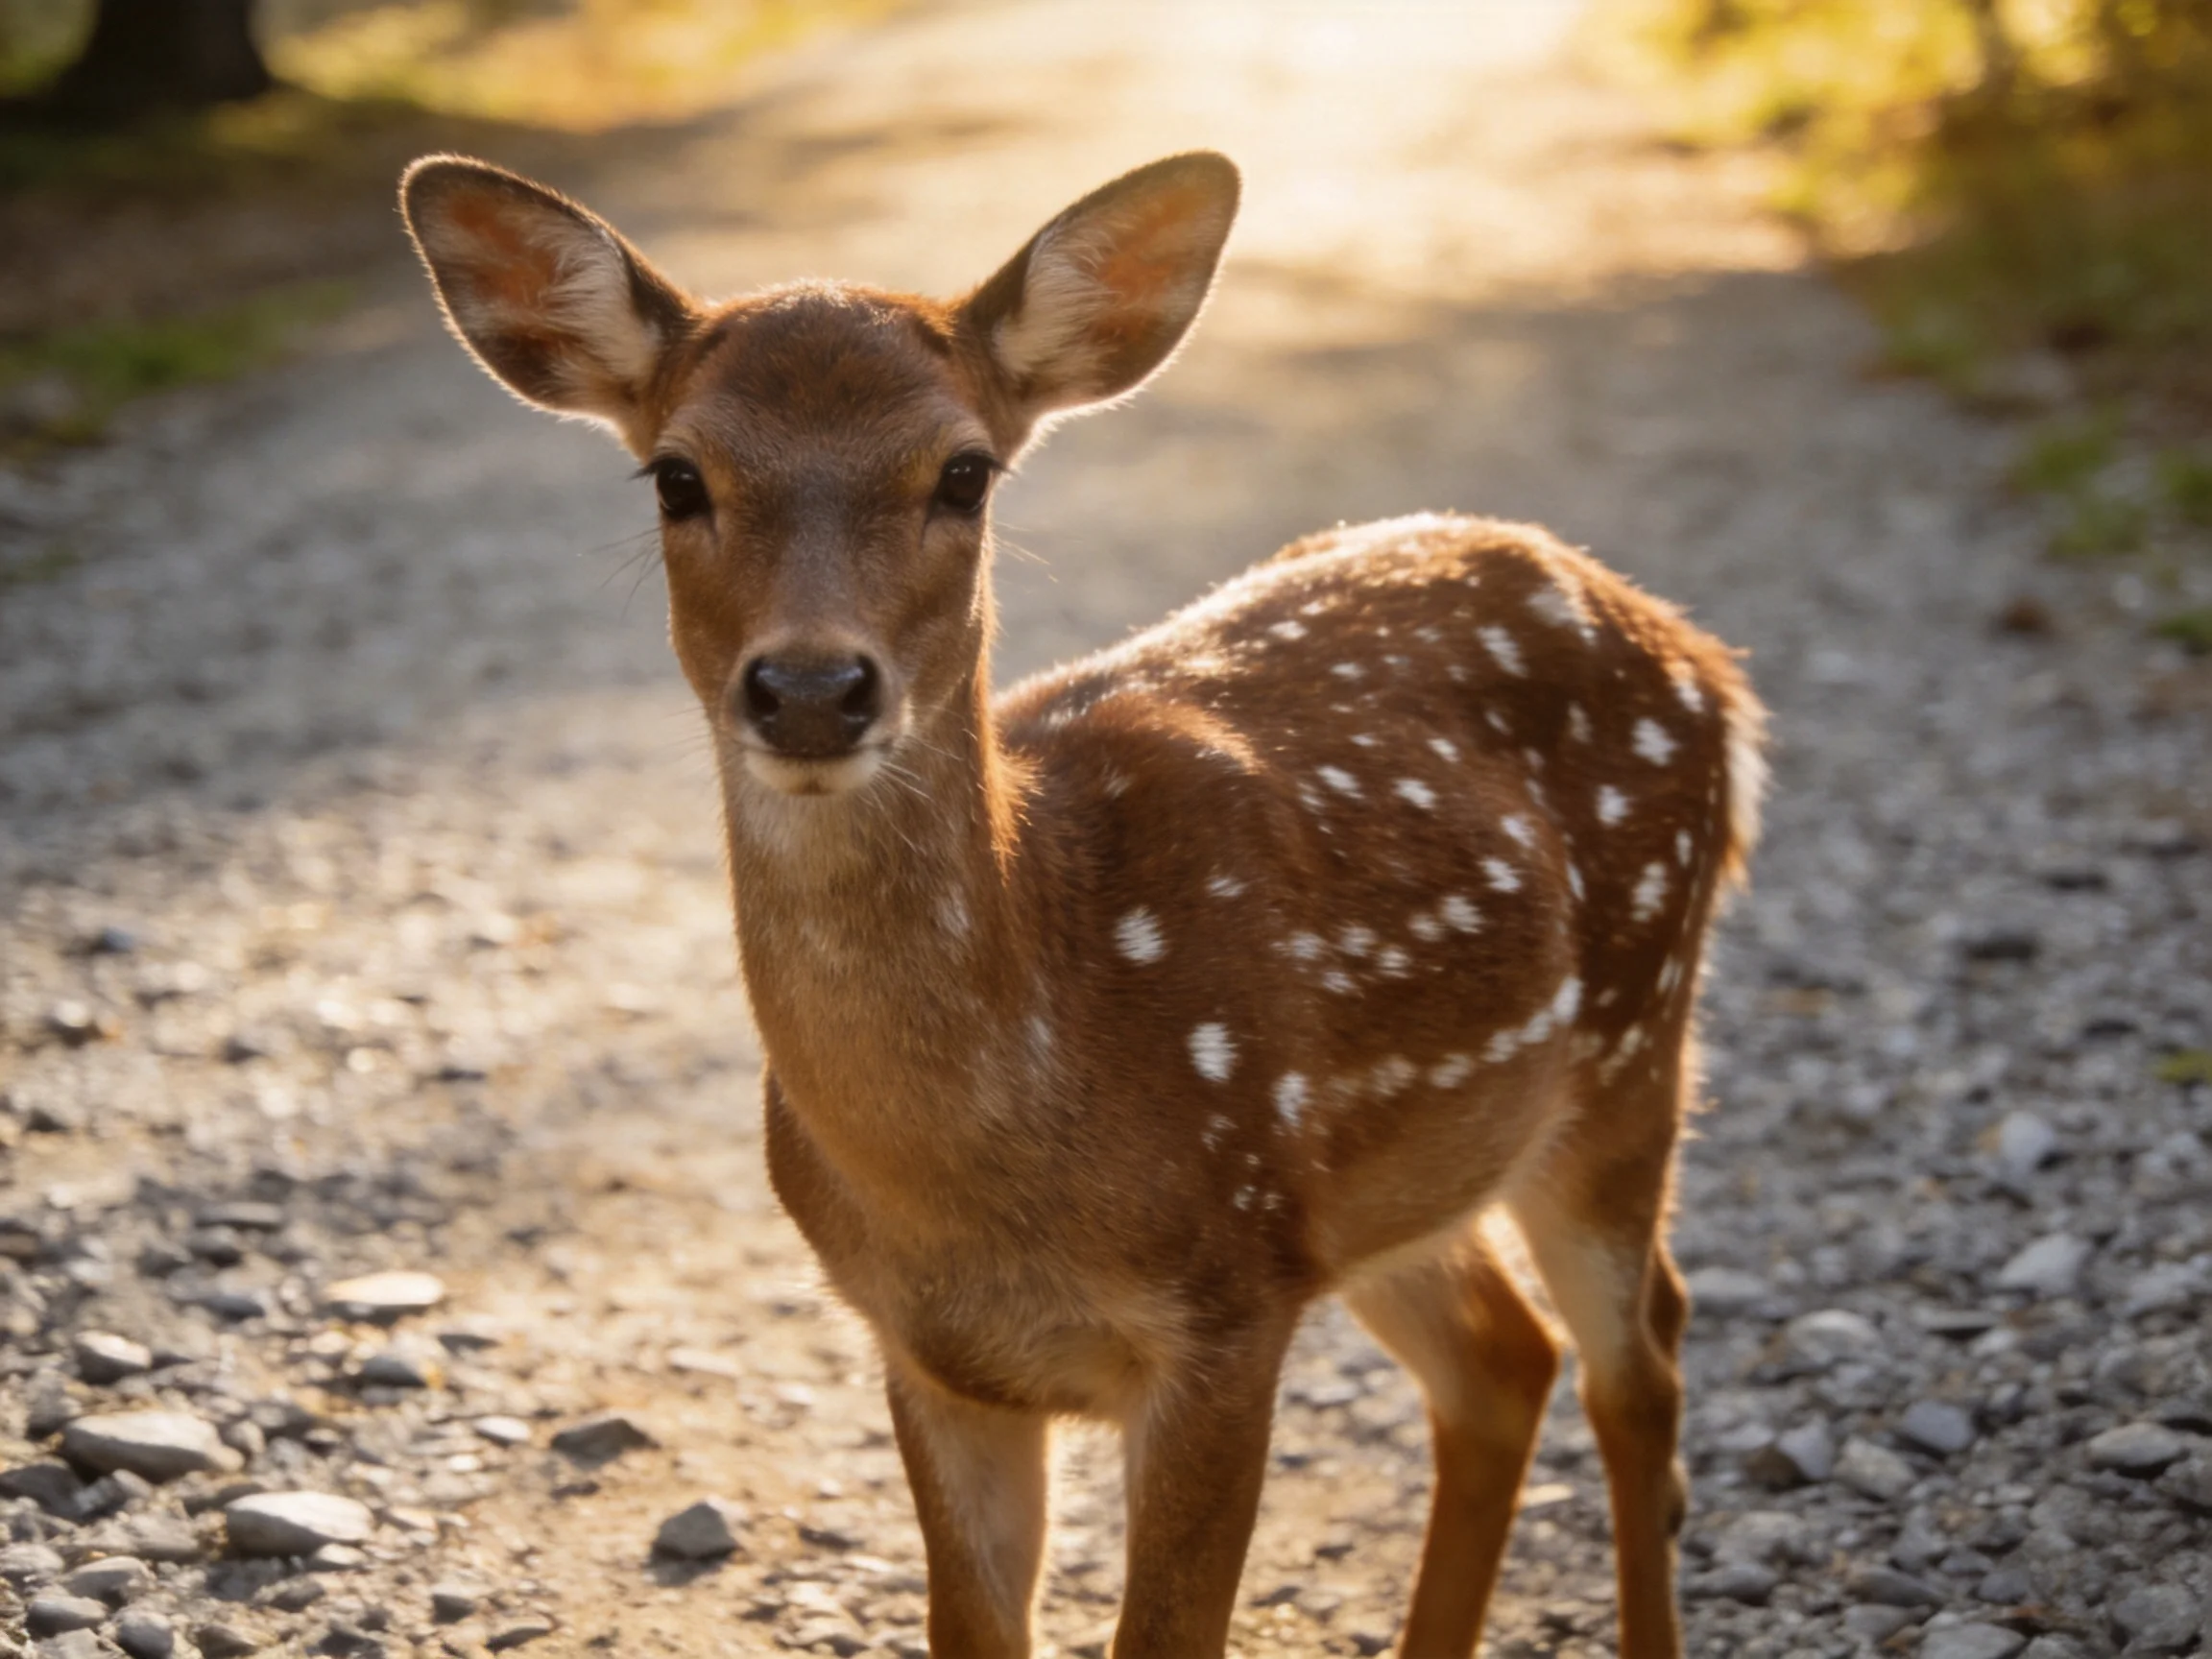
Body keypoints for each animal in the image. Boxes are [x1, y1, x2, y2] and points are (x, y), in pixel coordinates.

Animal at [401, 148, 1767, 1659]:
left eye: (965, 471)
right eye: (676, 475)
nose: (812, 689)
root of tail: (1704, 659)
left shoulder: (1224, 1305)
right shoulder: (933, 1352)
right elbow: (970, 1626)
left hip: (1630, 1043)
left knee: (1639, 1361)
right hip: (1396, 1176)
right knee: (1502, 1362)